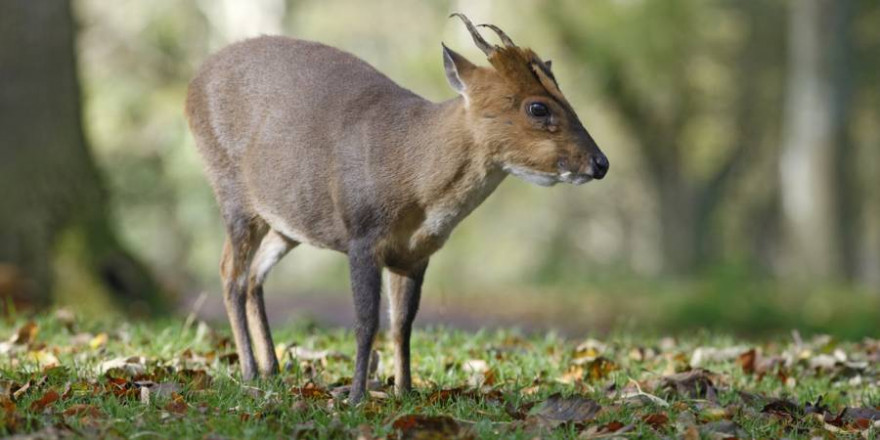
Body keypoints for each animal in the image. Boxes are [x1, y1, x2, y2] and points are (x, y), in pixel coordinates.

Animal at [186, 13, 608, 402]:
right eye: (538, 108)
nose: (600, 163)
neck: (413, 174)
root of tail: (192, 85)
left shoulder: (415, 254)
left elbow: (402, 322)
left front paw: (404, 391)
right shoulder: (362, 235)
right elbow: (365, 321)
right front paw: (357, 397)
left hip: (286, 224)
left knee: (254, 276)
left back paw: (271, 370)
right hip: (233, 194)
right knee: (230, 274)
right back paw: (249, 371)